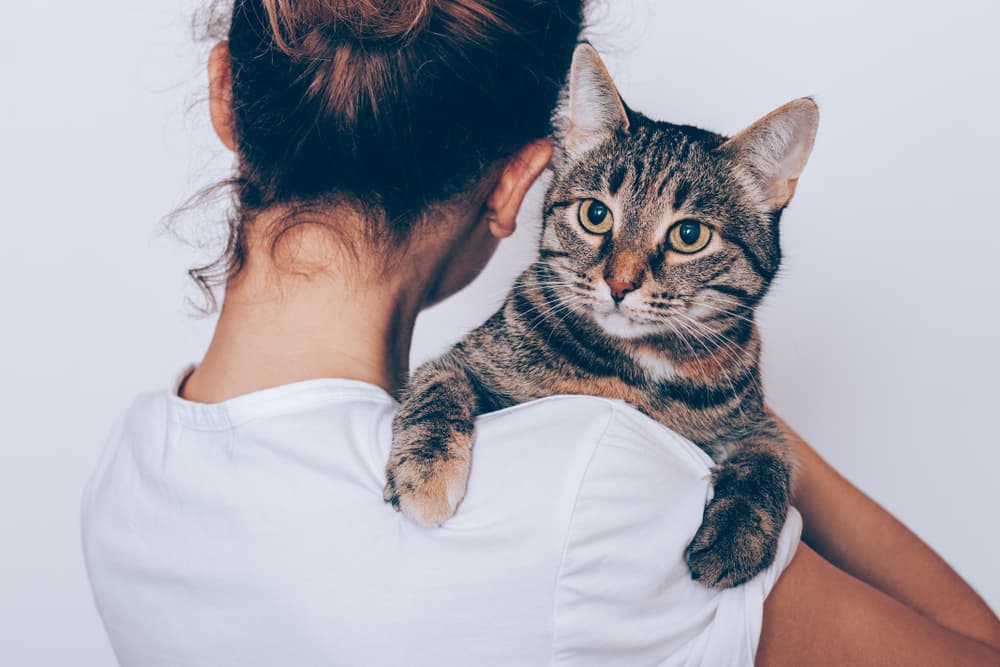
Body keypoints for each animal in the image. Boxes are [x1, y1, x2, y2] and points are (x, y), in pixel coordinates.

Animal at [384, 44, 820, 588]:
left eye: (690, 235)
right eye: (595, 215)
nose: (619, 283)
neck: (638, 370)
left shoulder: (753, 423)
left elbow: (770, 460)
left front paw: (736, 535)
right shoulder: (466, 360)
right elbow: (436, 388)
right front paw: (425, 472)